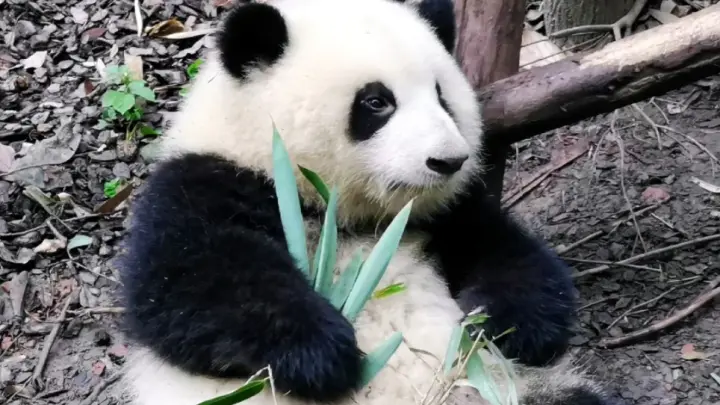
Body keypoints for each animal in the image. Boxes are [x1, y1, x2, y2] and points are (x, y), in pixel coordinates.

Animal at [115, 0, 620, 402]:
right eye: (377, 102)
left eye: (442, 96)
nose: (448, 161)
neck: (350, 215)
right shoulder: (206, 181)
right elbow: (188, 283)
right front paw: (324, 353)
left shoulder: (445, 214)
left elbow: (507, 251)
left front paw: (508, 324)